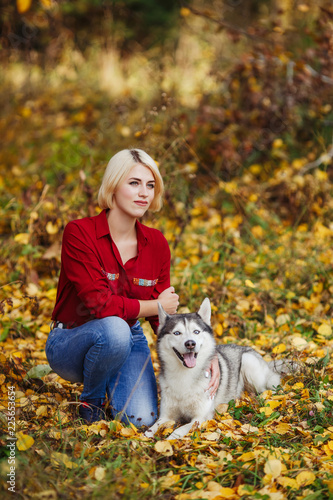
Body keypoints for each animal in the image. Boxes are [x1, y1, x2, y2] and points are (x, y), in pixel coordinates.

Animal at [147, 296, 292, 438]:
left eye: (196, 331)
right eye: (177, 333)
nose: (190, 344)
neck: (184, 376)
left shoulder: (200, 417)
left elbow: (179, 430)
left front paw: (170, 441)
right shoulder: (166, 415)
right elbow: (150, 430)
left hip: (248, 362)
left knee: (267, 389)